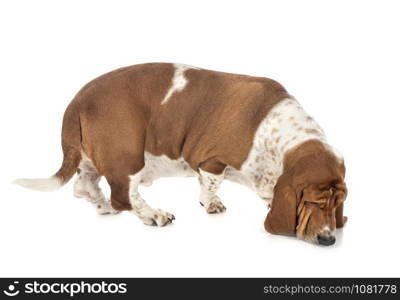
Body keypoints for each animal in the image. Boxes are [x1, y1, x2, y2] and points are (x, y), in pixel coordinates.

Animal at [14, 62, 346, 245]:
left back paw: (103, 206)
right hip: (128, 154)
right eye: (313, 202)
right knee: (123, 196)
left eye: (336, 203)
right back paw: (153, 214)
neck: (285, 138)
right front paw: (210, 204)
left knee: (84, 187)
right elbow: (210, 184)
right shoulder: (213, 161)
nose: (329, 240)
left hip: (91, 159)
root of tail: (77, 101)